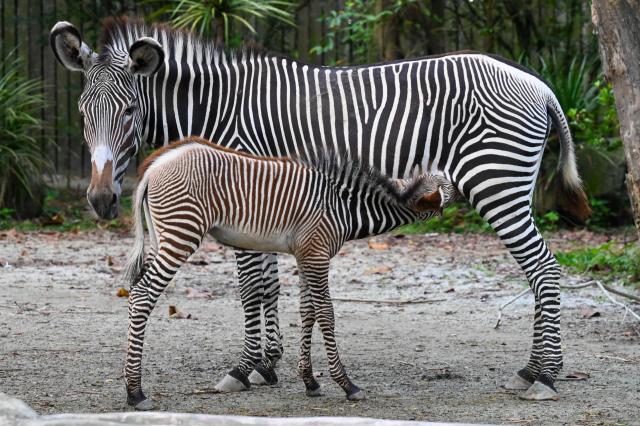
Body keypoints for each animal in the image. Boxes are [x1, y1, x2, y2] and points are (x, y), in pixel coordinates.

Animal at [122, 136, 457, 410]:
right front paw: (346, 384)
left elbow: (308, 311)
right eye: (450, 190)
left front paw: (310, 381)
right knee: (142, 295)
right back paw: (135, 392)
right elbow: (326, 313)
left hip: (165, 236)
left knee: (138, 292)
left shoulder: (306, 256)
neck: (343, 207)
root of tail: (156, 165)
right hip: (182, 233)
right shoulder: (317, 255)